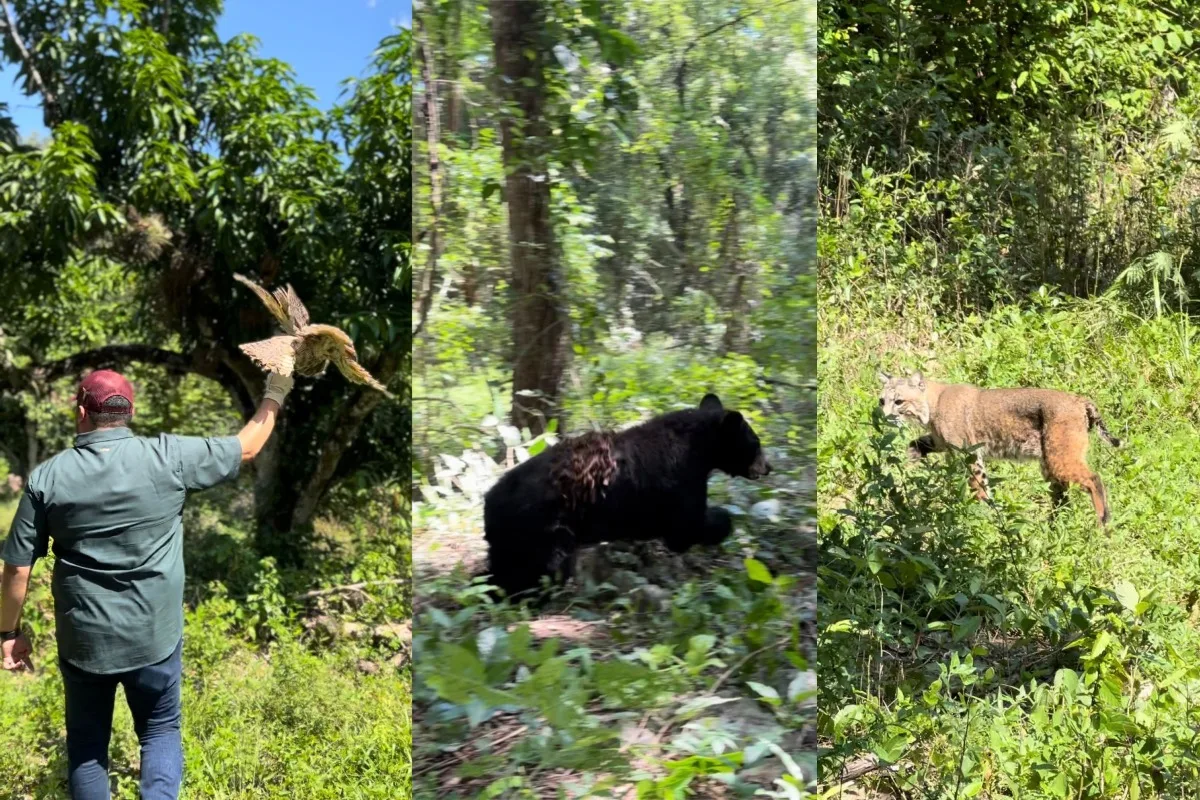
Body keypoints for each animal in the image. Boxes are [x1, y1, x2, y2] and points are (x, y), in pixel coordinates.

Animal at [477, 393, 768, 599]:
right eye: (756, 443)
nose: (768, 467)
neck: (698, 447)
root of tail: (490, 502)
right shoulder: (680, 482)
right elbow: (686, 527)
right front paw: (721, 521)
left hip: (512, 538)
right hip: (543, 530)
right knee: (541, 567)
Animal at [878, 374, 1118, 525]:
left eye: (898, 401)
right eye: (882, 401)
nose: (885, 416)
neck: (932, 403)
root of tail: (1079, 398)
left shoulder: (968, 451)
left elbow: (979, 484)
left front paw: (984, 514)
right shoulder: (941, 443)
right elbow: (915, 444)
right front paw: (909, 464)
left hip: (1059, 454)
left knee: (1093, 478)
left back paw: (1102, 522)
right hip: (1050, 460)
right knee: (1062, 496)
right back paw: (1054, 527)